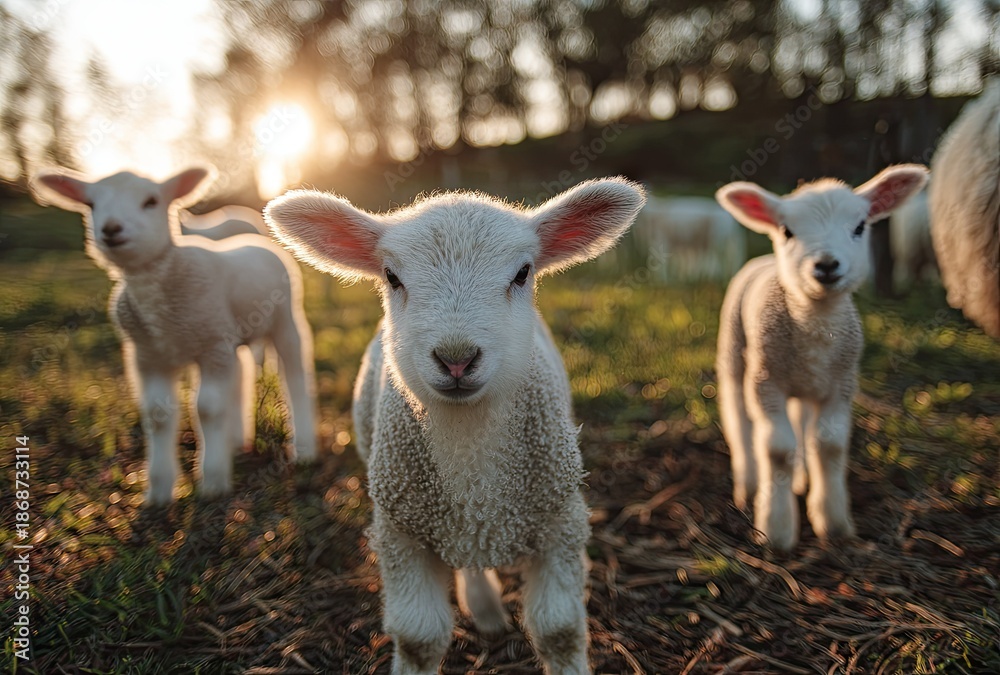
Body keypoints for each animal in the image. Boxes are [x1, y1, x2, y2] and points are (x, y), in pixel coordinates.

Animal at [30, 167, 318, 506]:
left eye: (151, 201)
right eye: (90, 204)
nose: (111, 229)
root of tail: (256, 239)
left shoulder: (210, 346)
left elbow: (207, 407)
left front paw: (213, 481)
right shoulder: (150, 355)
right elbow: (156, 414)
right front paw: (159, 491)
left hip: (284, 320)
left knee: (294, 375)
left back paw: (304, 449)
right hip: (229, 335)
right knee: (241, 371)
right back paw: (236, 440)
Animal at [266, 178, 645, 674]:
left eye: (523, 273)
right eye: (392, 277)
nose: (457, 359)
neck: (468, 444)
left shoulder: (560, 522)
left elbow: (559, 631)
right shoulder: (401, 533)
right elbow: (417, 639)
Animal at [715, 165, 928, 551]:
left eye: (859, 227)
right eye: (787, 231)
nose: (826, 265)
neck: (817, 323)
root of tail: (763, 259)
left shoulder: (841, 383)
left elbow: (829, 445)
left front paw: (833, 524)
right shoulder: (767, 382)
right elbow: (777, 449)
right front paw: (777, 530)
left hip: (804, 385)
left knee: (801, 424)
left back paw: (801, 479)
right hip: (736, 356)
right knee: (739, 421)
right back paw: (749, 486)